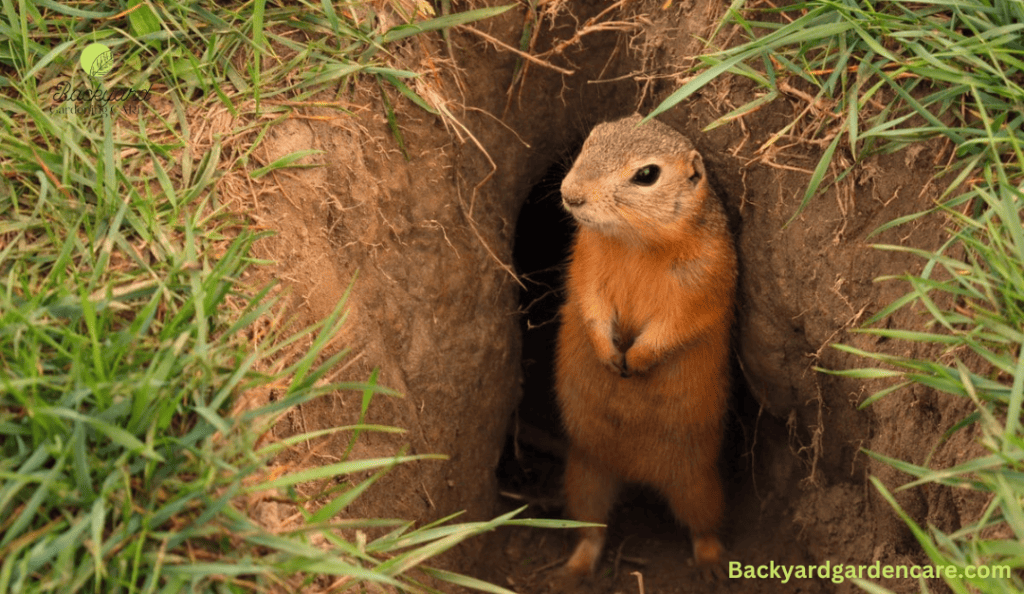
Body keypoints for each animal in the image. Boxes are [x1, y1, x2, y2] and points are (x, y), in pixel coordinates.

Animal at [557, 112, 733, 581]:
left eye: (647, 175)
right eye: (591, 139)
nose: (570, 194)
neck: (634, 243)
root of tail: (634, 474)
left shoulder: (703, 281)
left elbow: (673, 326)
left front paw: (635, 360)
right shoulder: (586, 265)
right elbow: (591, 307)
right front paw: (608, 354)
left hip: (697, 484)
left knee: (704, 525)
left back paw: (711, 564)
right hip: (585, 475)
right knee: (591, 528)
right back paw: (576, 568)